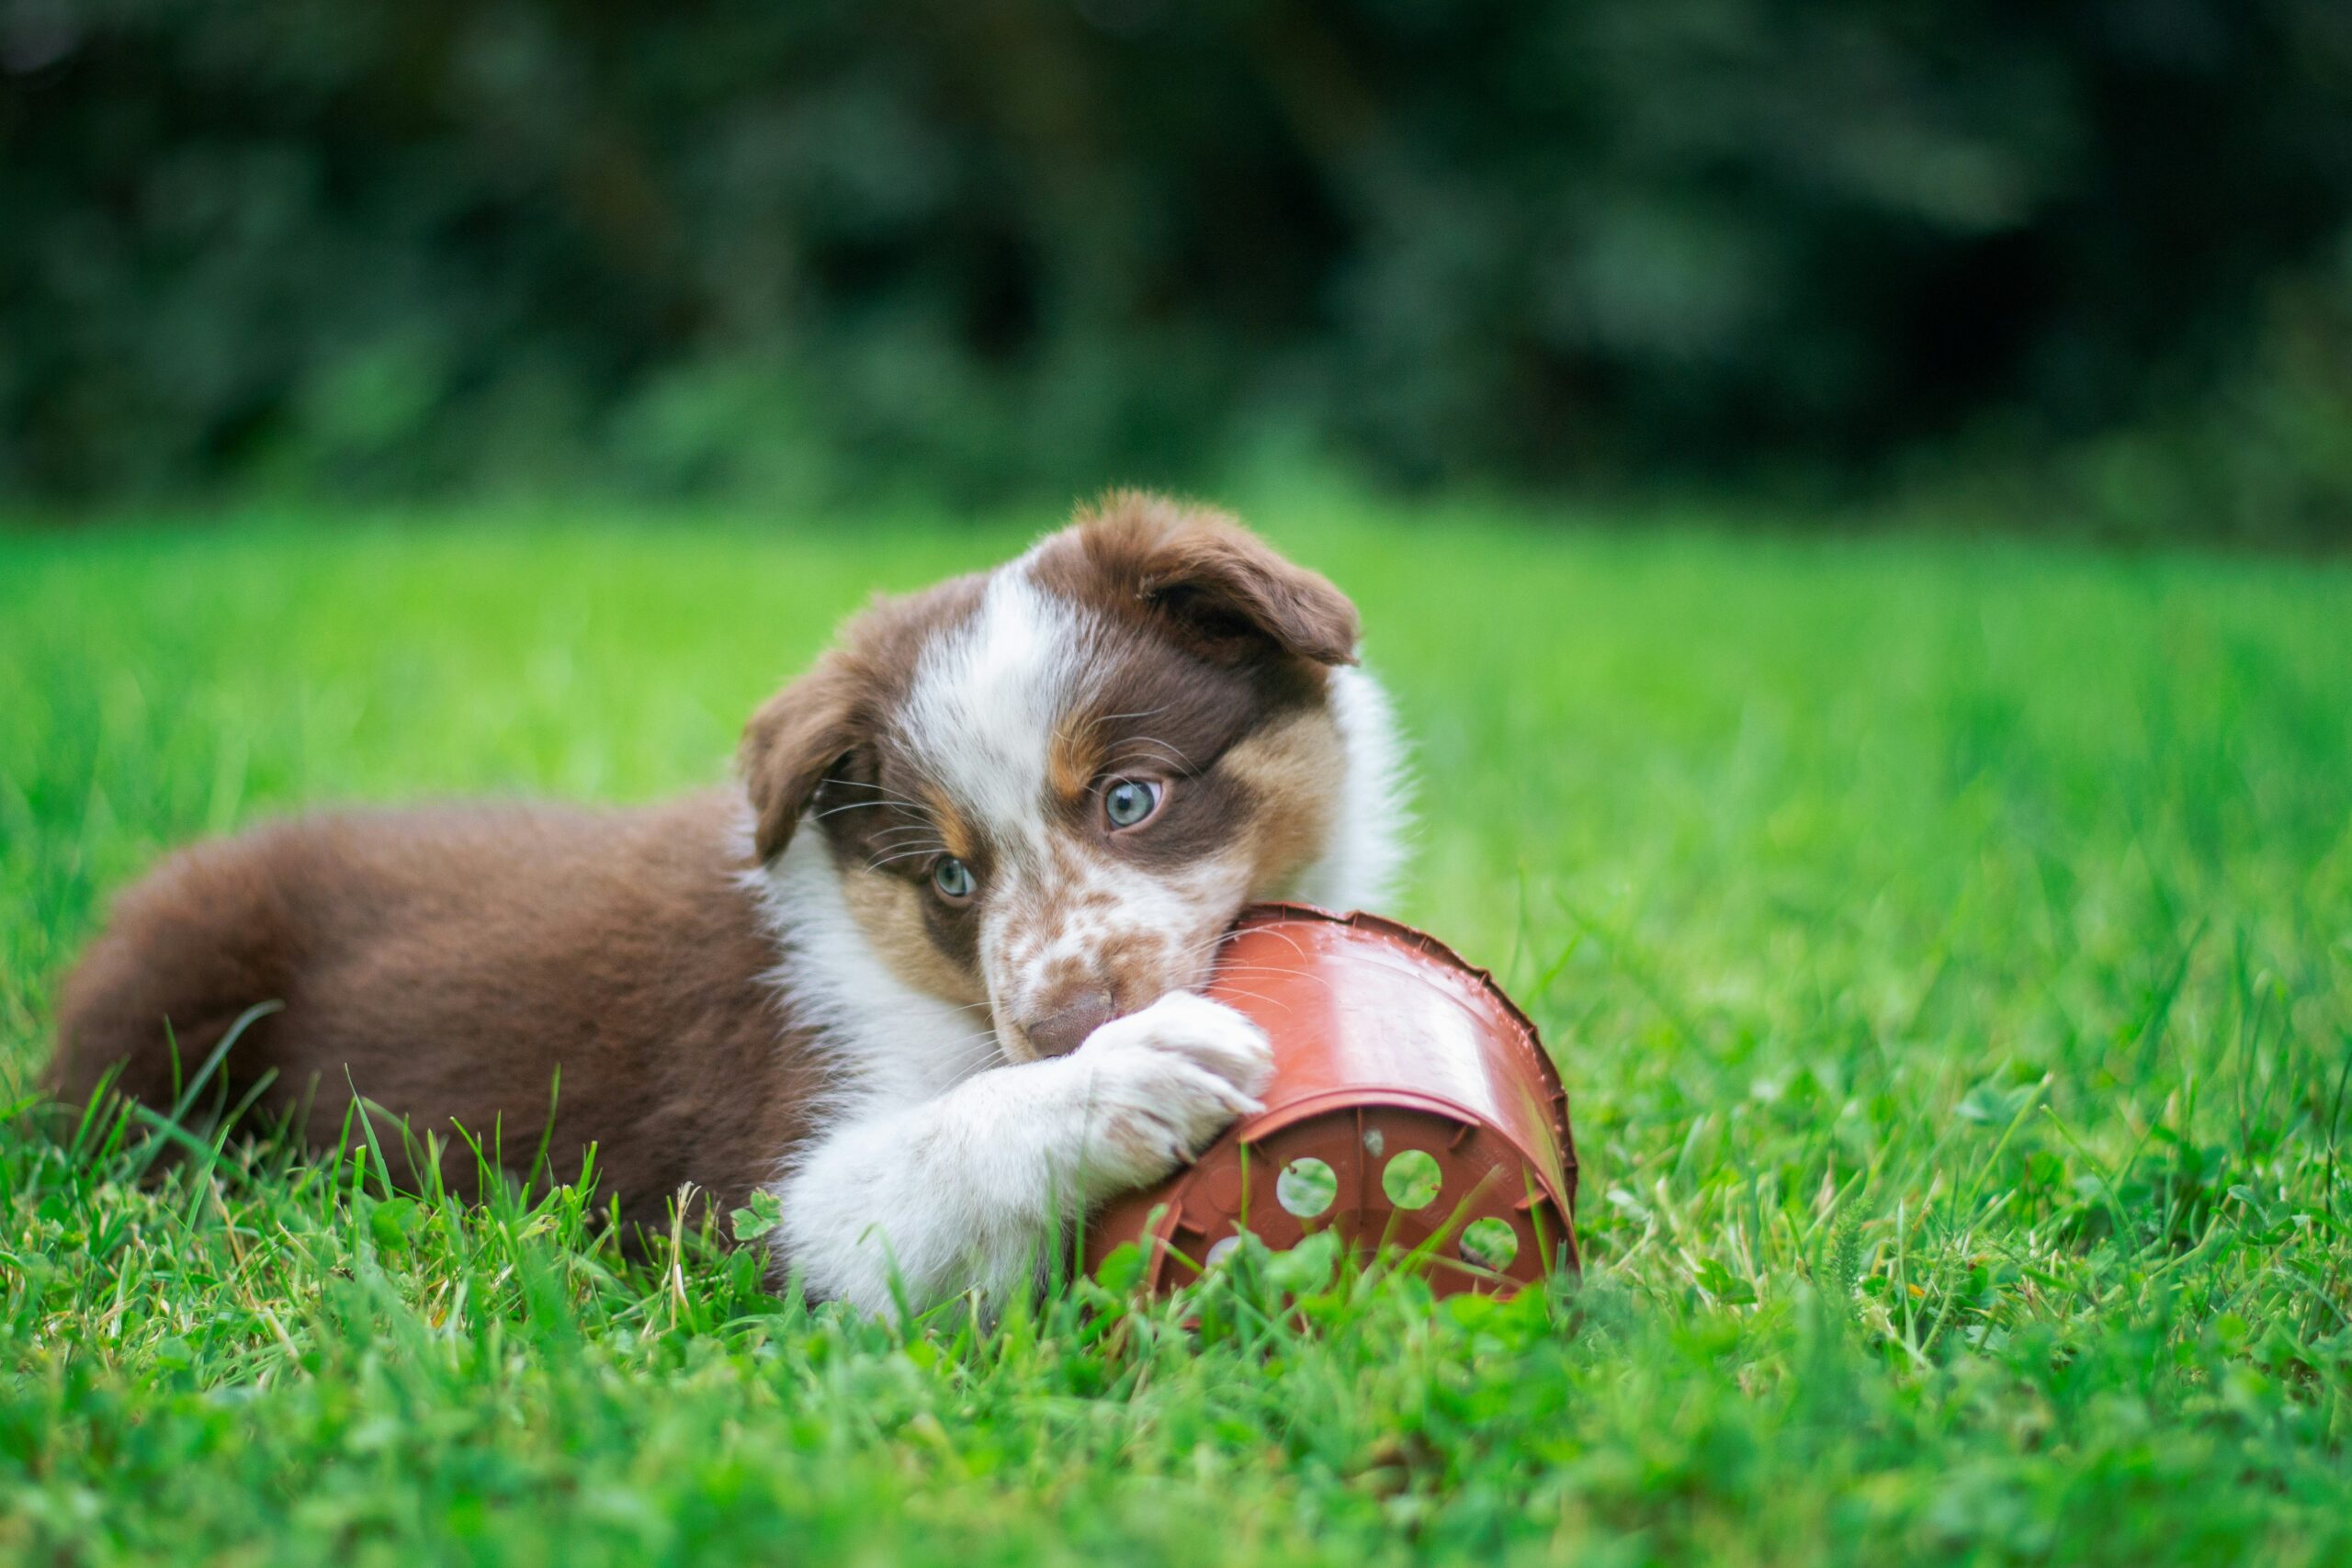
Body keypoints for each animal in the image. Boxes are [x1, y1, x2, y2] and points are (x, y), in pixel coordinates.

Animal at [45, 493, 1401, 1316]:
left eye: (1129, 798)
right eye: (951, 876)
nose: (1062, 1027)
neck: (929, 984)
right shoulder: (762, 1184)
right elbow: (932, 1150)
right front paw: (1127, 1071)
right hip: (173, 980)